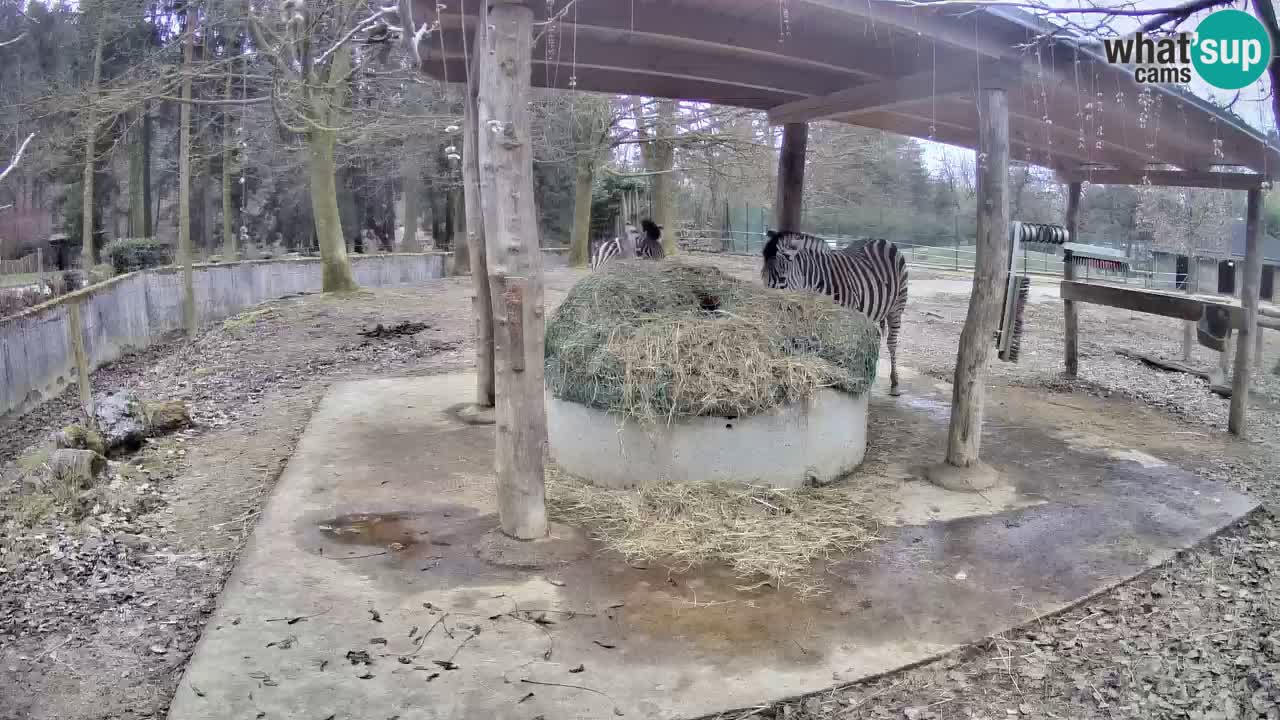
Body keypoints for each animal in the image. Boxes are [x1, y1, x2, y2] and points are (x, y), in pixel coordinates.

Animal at [757, 229, 911, 394]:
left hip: (897, 306)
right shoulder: (821, 315)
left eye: (782, 278)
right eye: (763, 276)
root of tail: (882, 240)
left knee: (892, 343)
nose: (768, 306)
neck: (816, 281)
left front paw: (845, 374)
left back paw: (894, 383)